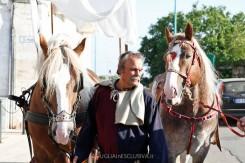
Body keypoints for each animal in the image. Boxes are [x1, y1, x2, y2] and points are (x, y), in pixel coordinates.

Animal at [158, 23, 221, 163]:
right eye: (165, 58)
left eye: (187, 55)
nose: (170, 91)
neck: (193, 115)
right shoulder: (171, 151)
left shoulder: (201, 151)